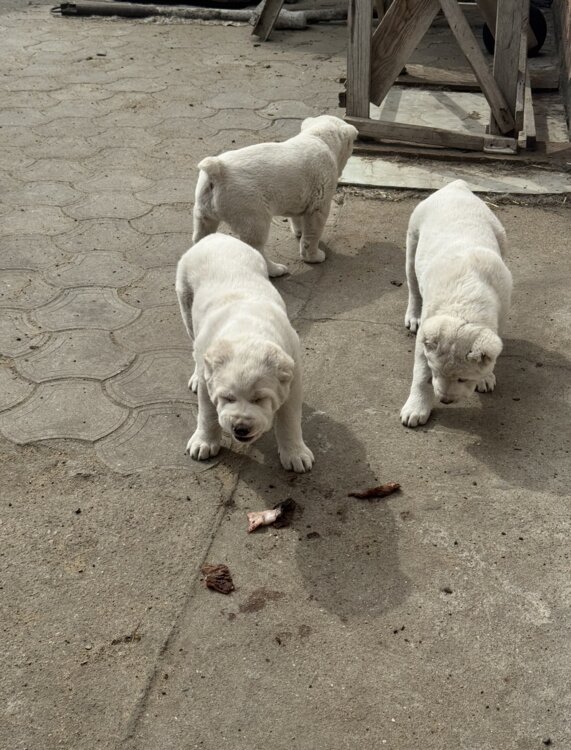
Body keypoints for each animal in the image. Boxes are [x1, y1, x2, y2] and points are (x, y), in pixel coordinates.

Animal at [175, 232, 314, 472]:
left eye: (259, 399)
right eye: (228, 398)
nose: (240, 427)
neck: (247, 333)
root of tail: (216, 236)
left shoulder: (294, 376)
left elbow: (289, 419)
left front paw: (296, 453)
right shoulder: (208, 382)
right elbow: (208, 414)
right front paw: (204, 442)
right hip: (185, 299)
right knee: (194, 346)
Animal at [192, 115, 358, 277]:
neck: (318, 137)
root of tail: (218, 169)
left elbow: (297, 214)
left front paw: (299, 232)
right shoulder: (322, 187)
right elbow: (314, 224)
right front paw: (315, 256)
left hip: (204, 199)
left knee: (203, 229)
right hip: (248, 202)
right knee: (256, 240)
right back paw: (276, 270)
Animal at [400, 179, 512, 428]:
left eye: (463, 378)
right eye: (435, 372)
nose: (445, 400)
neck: (464, 308)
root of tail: (455, 186)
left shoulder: (500, 313)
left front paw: (486, 376)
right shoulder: (427, 334)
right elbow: (420, 375)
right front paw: (416, 407)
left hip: (500, 234)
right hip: (413, 237)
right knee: (413, 285)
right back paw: (413, 315)